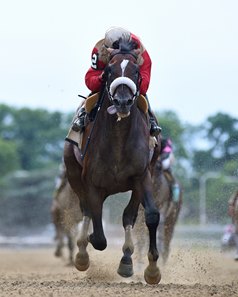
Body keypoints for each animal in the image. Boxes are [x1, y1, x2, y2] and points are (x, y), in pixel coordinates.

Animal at [64, 38, 162, 282]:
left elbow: (150, 215)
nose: (122, 101)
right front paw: (87, 244)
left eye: (136, 71)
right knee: (87, 210)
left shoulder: (142, 175)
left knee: (129, 216)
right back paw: (82, 253)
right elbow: (98, 235)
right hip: (73, 172)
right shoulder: (90, 181)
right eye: (108, 70)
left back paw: (126, 259)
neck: (118, 138)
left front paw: (152, 269)